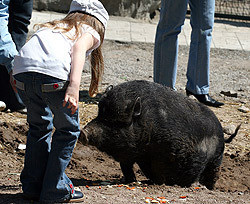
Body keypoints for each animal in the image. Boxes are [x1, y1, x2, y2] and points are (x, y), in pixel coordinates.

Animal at [80, 79, 240, 190]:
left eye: (117, 121)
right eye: (101, 113)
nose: (83, 132)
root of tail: (221, 132)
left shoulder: (167, 153)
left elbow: (161, 170)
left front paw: (160, 183)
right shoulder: (130, 155)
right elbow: (127, 168)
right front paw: (132, 181)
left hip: (215, 160)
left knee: (209, 175)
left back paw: (204, 187)